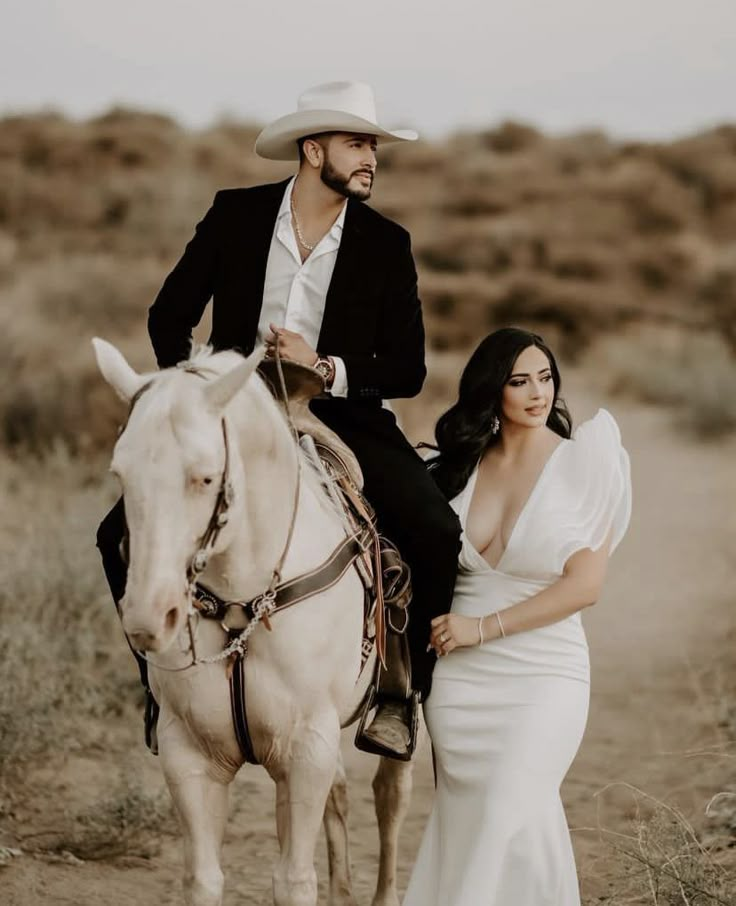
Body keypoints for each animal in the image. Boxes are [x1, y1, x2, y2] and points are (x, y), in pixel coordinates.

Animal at [92, 340, 414, 904]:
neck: (242, 606)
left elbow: (294, 881)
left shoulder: (304, 754)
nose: (149, 618)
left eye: (204, 477)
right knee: (341, 794)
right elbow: (204, 880)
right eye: (121, 475)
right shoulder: (189, 755)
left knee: (390, 793)